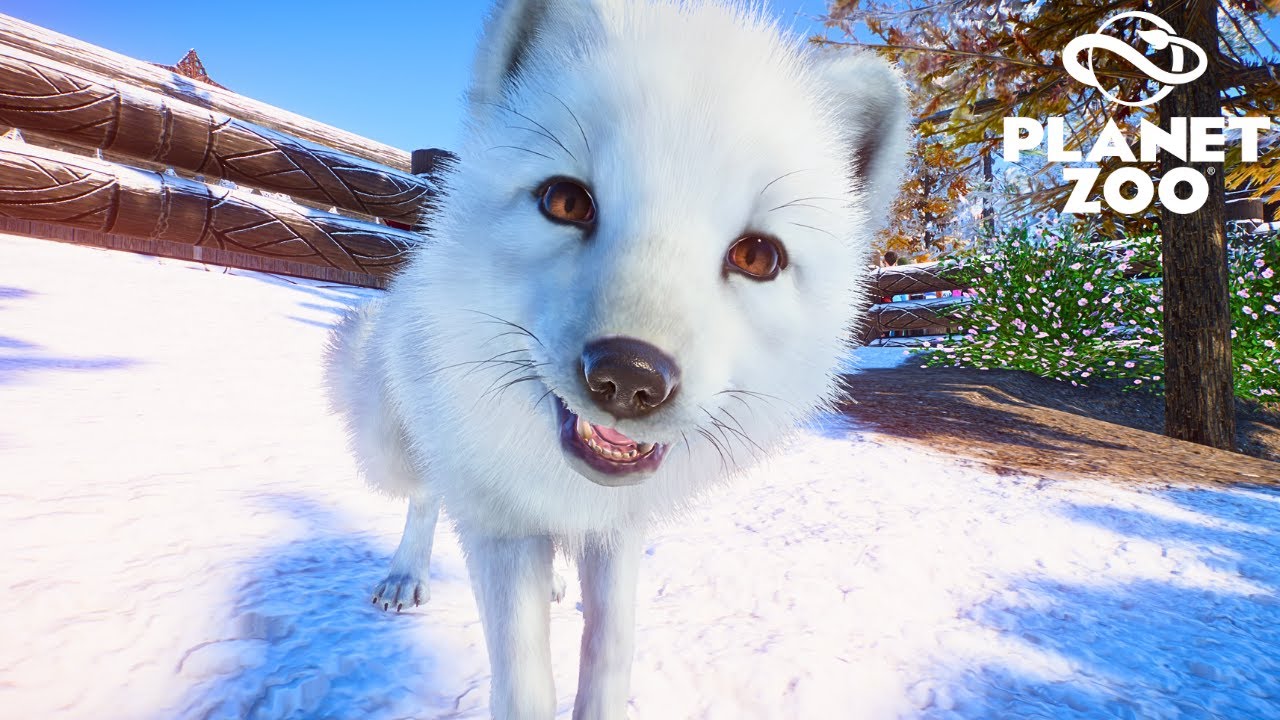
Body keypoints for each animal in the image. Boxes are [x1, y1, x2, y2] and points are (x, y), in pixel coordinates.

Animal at [325, 0, 909, 717]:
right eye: (566, 202)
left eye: (757, 256)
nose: (630, 376)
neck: (568, 486)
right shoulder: (498, 523)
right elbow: (524, 683)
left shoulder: (620, 530)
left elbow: (610, 649)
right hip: (394, 447)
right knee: (425, 496)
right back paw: (406, 574)